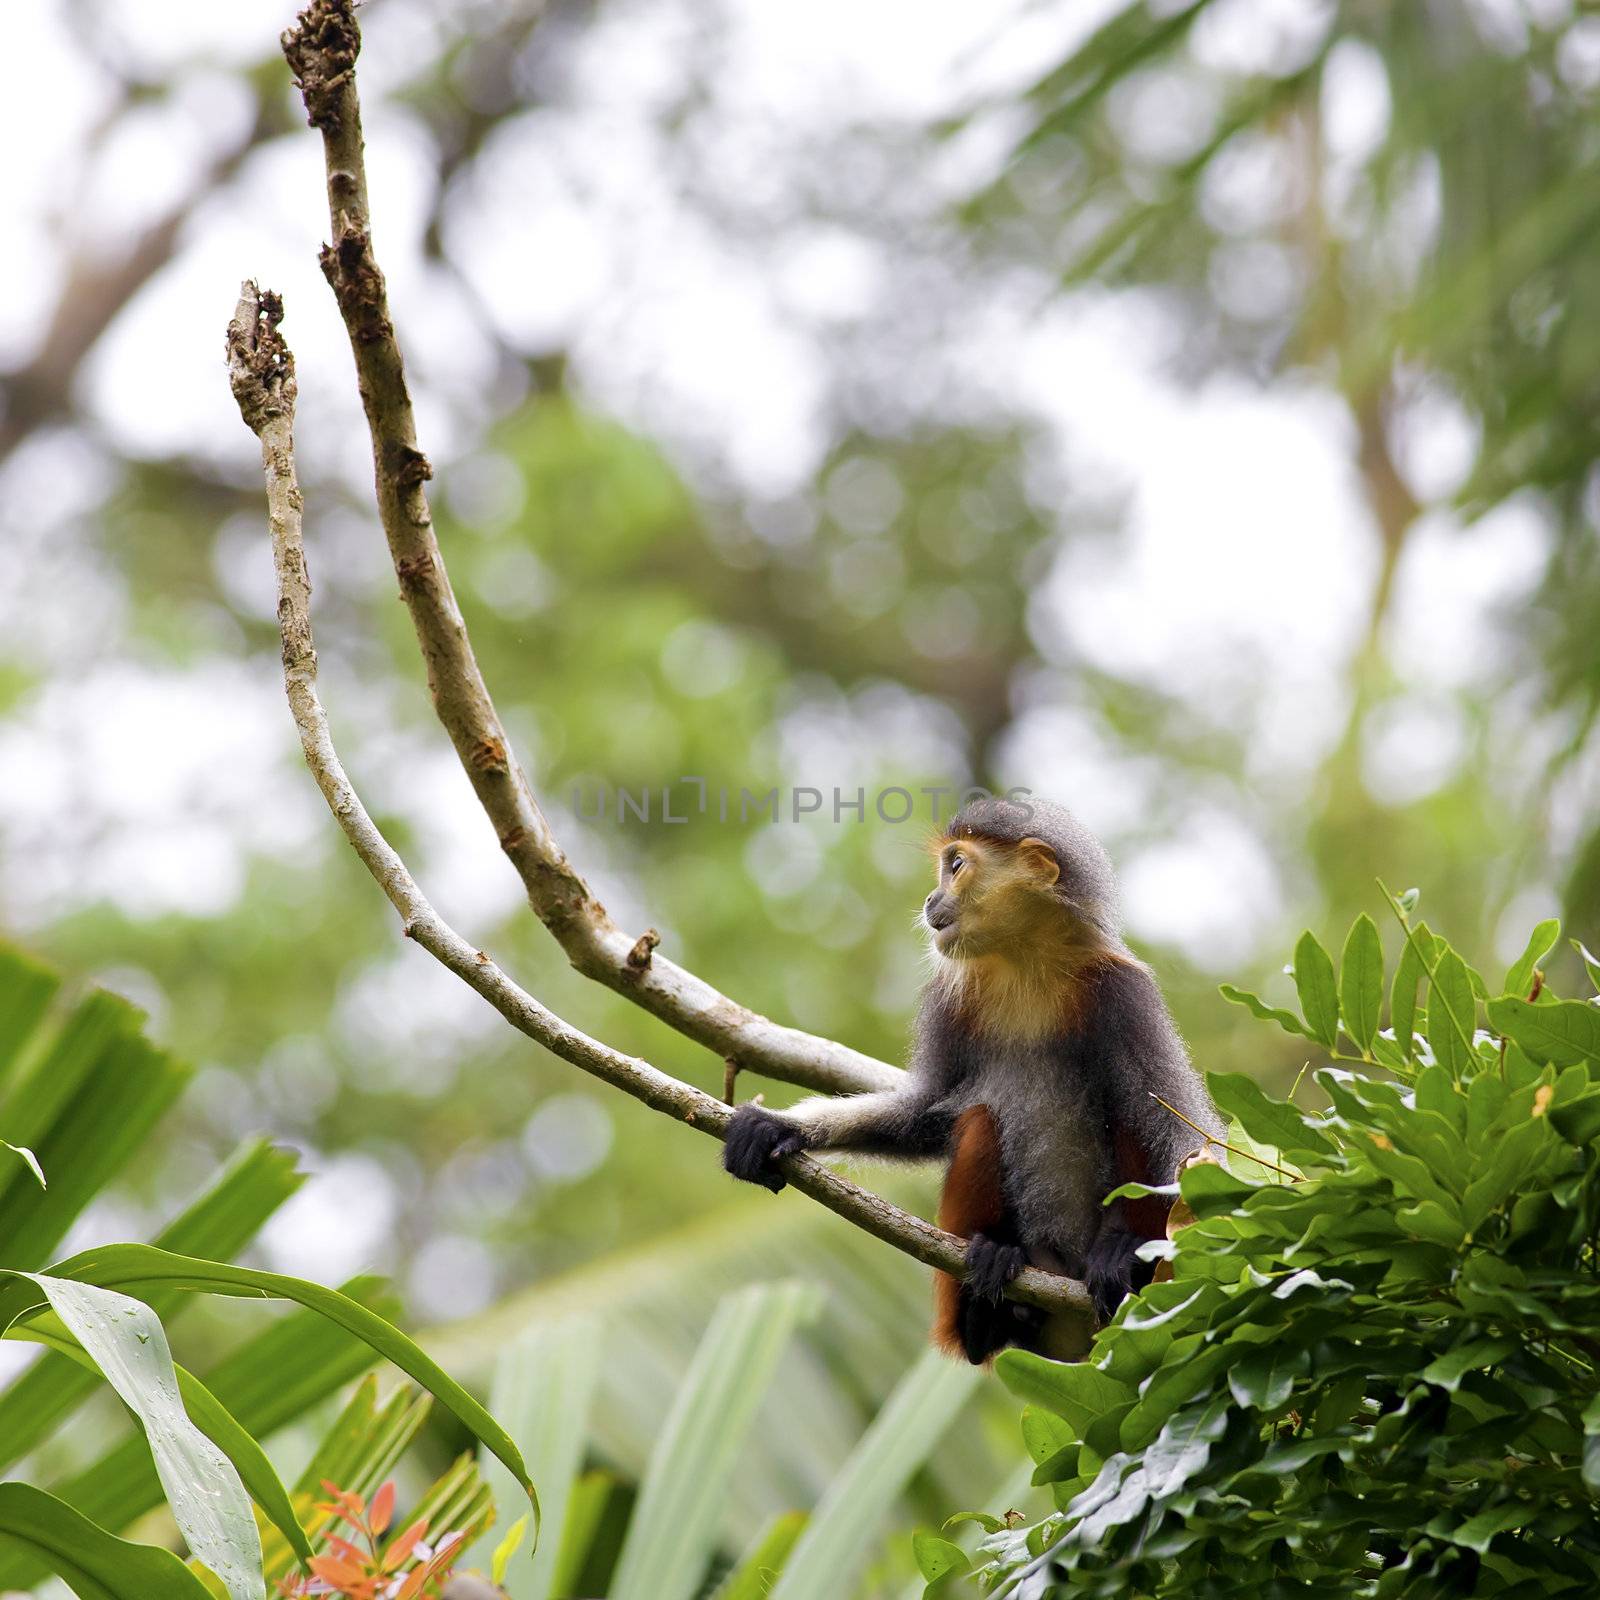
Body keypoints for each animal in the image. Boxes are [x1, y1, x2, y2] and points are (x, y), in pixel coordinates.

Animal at [720, 796, 1216, 1363]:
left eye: (956, 865)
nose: (931, 897)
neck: (1026, 965)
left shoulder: (1124, 991)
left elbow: (1181, 1132)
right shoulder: (948, 997)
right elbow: (924, 1110)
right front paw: (781, 1128)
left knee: (1133, 1114)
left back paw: (1116, 1254)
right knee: (980, 1121)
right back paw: (986, 1304)